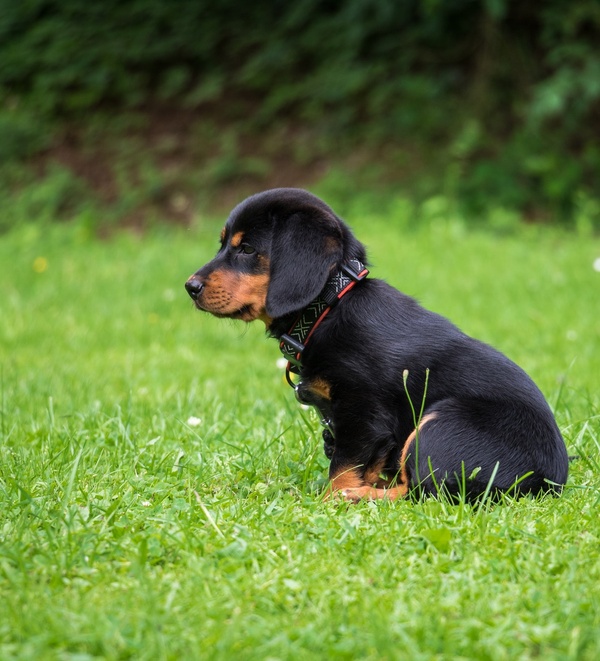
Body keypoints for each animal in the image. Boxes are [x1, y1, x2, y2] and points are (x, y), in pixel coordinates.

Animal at [185, 187, 568, 500]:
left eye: (247, 248)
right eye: (223, 244)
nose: (190, 287)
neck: (329, 305)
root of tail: (547, 482)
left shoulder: (362, 412)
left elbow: (343, 468)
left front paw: (331, 499)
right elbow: (363, 463)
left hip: (440, 423)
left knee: (423, 491)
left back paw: (356, 497)